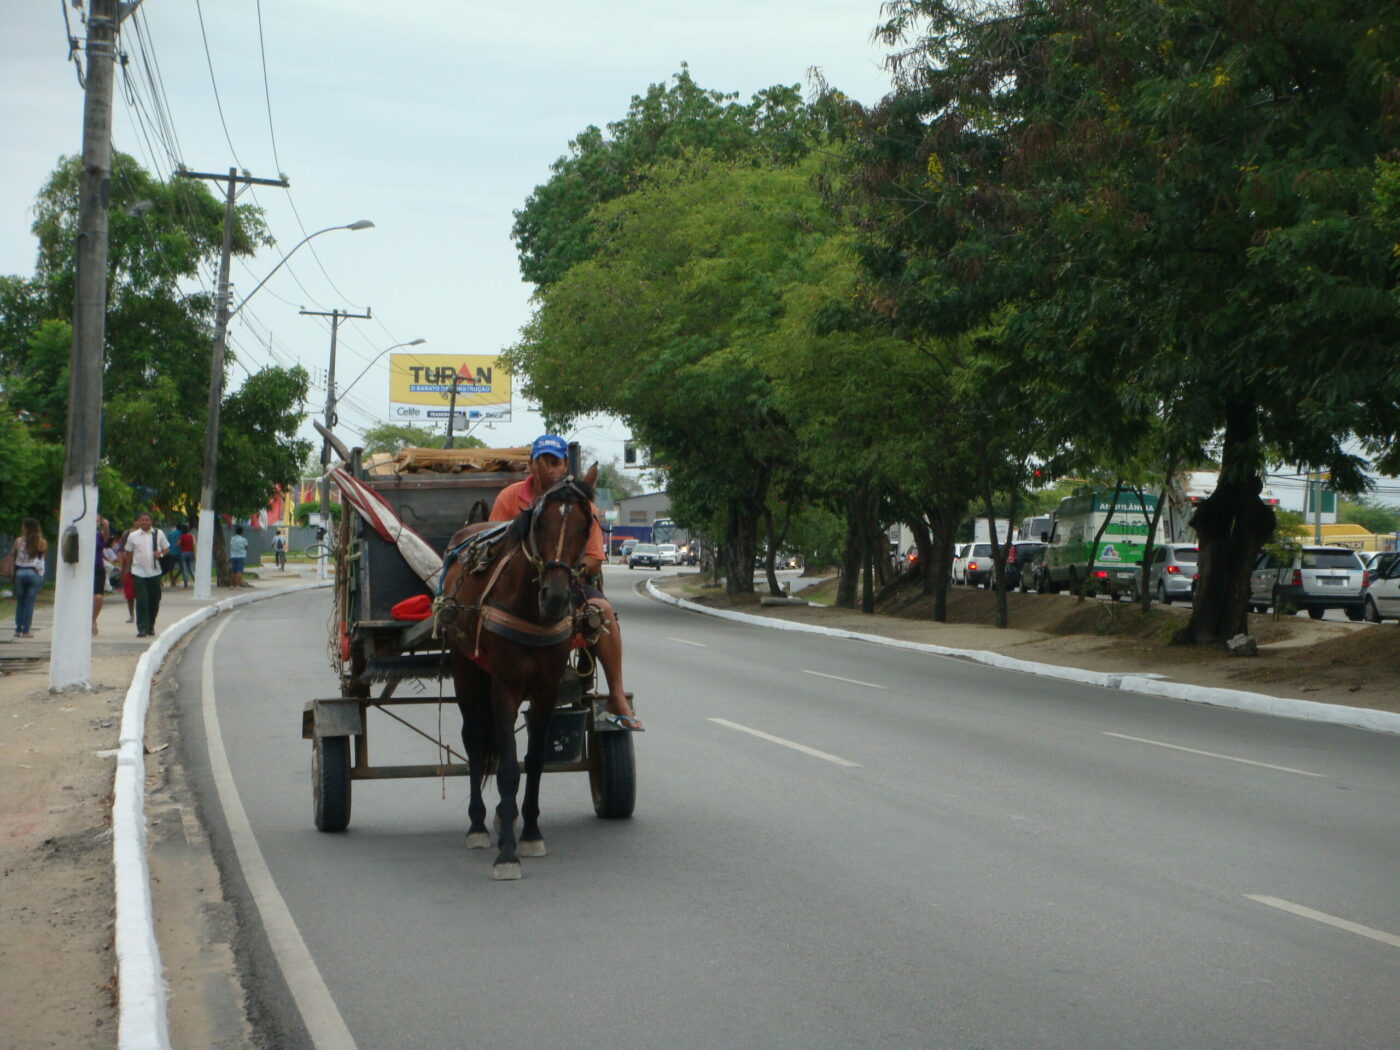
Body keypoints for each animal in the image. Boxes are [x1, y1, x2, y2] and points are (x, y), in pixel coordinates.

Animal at [434, 467, 593, 879]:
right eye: (541, 522)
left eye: (586, 524)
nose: (555, 597)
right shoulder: (504, 687)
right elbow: (508, 768)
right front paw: (506, 853)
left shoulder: (547, 690)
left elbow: (535, 762)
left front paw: (531, 834)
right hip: (466, 670)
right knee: (474, 739)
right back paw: (477, 825)